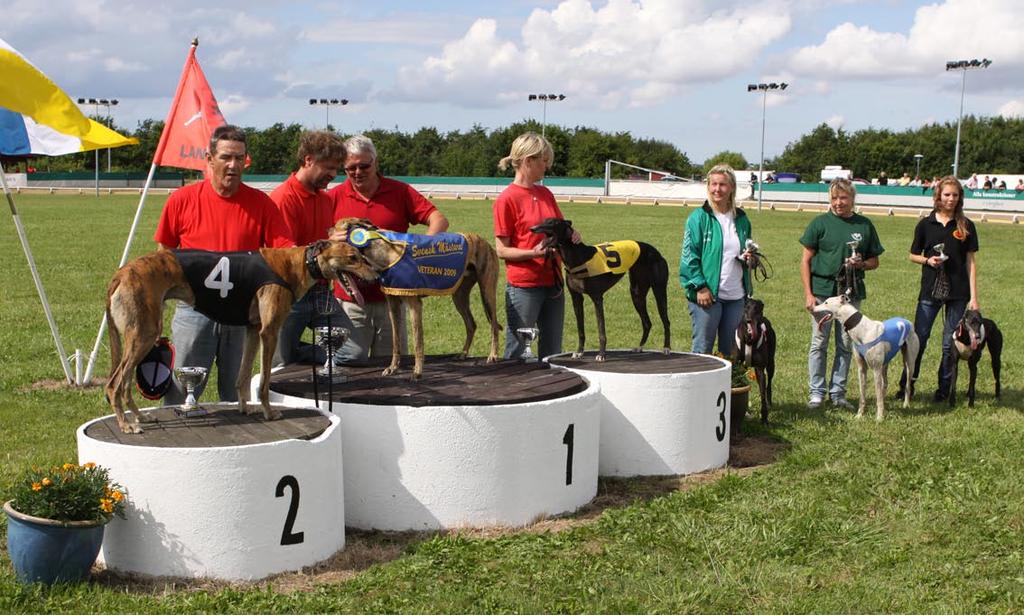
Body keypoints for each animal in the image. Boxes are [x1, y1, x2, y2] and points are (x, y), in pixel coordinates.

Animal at [104, 239, 376, 431]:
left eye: (362, 256)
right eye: (352, 258)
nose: (376, 277)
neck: (294, 264)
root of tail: (121, 273)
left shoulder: (253, 329)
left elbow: (243, 377)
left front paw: (245, 408)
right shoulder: (269, 331)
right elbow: (264, 381)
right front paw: (269, 412)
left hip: (141, 337)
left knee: (124, 384)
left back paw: (140, 417)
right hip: (145, 335)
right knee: (114, 384)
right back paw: (126, 424)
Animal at [331, 215, 499, 378]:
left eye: (335, 228)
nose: (328, 232)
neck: (383, 249)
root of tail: (484, 241)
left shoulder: (414, 305)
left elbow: (418, 341)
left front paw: (417, 371)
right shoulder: (393, 304)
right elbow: (396, 341)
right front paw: (393, 368)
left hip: (487, 292)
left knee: (494, 325)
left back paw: (493, 355)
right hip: (459, 297)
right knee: (471, 324)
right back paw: (463, 354)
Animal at [532, 215, 667, 360]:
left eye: (552, 222)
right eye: (544, 221)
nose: (532, 228)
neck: (578, 256)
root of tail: (655, 251)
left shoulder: (597, 298)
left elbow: (601, 330)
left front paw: (601, 354)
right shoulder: (576, 298)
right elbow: (580, 330)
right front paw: (579, 352)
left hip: (659, 291)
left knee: (666, 321)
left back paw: (667, 347)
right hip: (637, 293)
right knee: (647, 323)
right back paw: (640, 347)